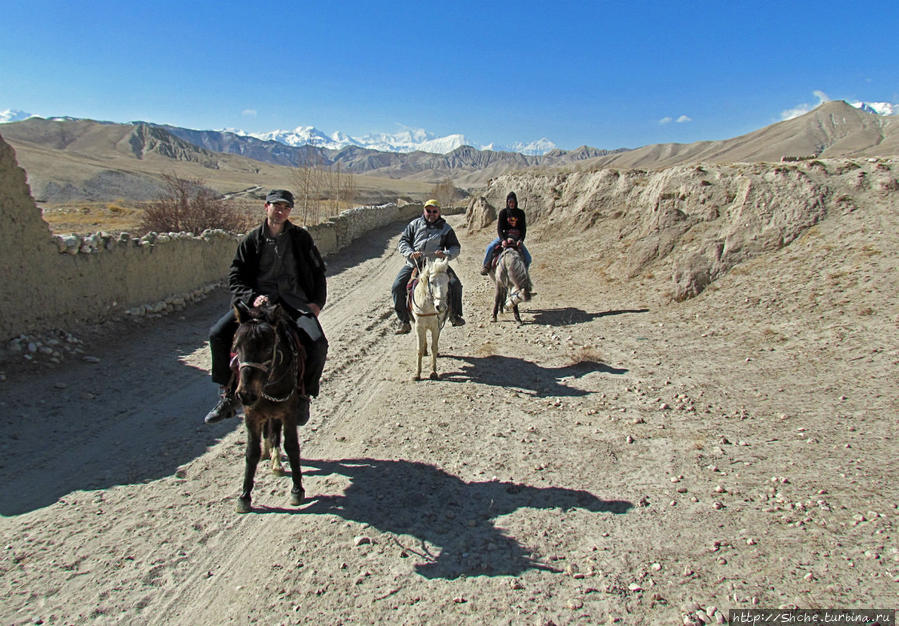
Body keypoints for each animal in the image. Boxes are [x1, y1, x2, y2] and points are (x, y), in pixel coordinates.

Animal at [232, 302, 306, 512]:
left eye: (267, 347)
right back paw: (269, 454)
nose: (245, 394)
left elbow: (292, 446)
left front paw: (297, 490)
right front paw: (244, 496)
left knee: (274, 430)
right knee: (269, 429)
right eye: (237, 346)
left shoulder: (288, 411)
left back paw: (276, 461)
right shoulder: (251, 415)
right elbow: (251, 452)